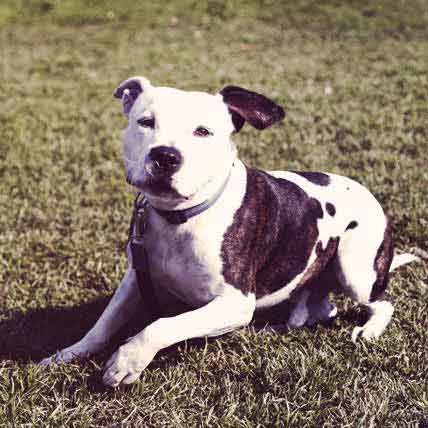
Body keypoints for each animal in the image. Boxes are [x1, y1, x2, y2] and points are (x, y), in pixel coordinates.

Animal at [38, 77, 416, 388]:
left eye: (203, 131)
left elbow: (162, 325)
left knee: (383, 302)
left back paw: (369, 330)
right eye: (146, 122)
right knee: (320, 312)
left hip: (356, 271)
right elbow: (103, 324)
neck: (181, 217)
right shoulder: (136, 276)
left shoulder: (233, 304)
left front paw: (128, 359)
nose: (165, 156)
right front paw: (67, 354)